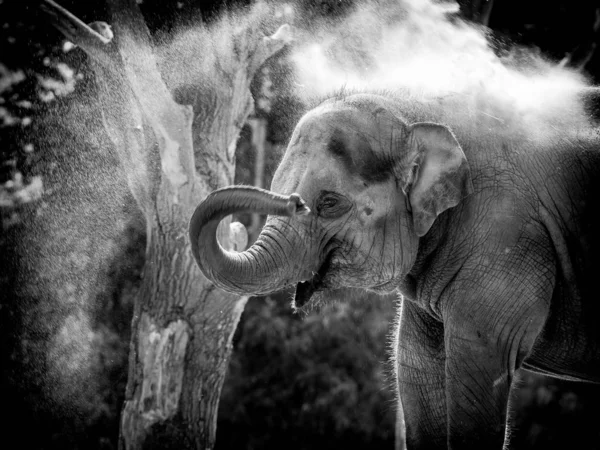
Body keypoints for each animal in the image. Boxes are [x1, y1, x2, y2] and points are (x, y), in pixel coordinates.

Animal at [190, 90, 600, 446]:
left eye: (329, 203)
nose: (292, 201)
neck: (417, 114)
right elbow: (417, 369)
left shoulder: (505, 237)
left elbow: (476, 366)